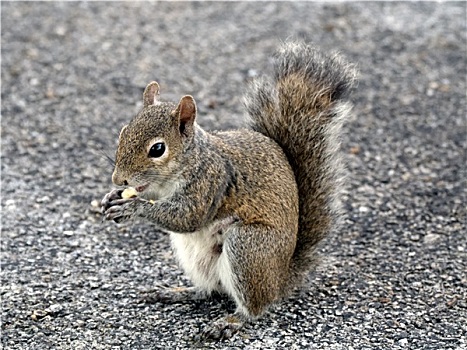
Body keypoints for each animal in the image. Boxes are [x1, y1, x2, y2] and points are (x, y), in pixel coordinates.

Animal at [101, 41, 358, 340]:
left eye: (157, 149)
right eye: (123, 131)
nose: (118, 179)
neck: (190, 161)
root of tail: (281, 278)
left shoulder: (211, 181)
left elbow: (188, 217)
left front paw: (133, 207)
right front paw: (111, 199)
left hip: (248, 247)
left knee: (255, 306)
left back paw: (231, 321)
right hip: (194, 256)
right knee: (209, 290)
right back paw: (177, 292)